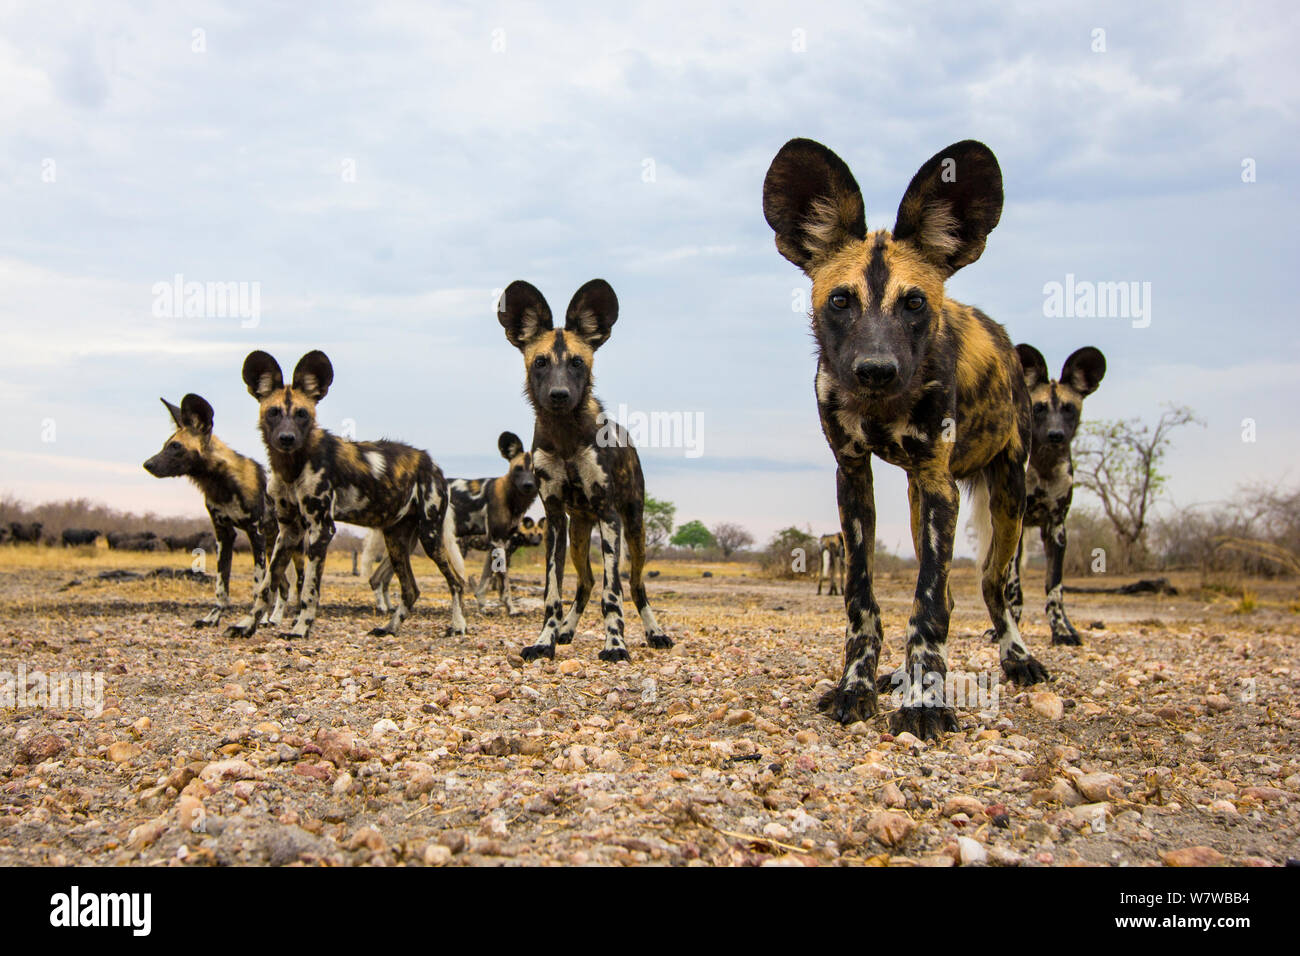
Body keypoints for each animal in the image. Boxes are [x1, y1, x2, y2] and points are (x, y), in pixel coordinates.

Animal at [142, 395, 301, 629]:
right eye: (165, 445)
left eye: (175, 446)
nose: (147, 464)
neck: (221, 485)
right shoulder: (224, 534)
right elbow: (221, 585)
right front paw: (213, 617)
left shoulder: (255, 534)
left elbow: (257, 586)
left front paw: (250, 621)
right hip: (274, 546)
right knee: (284, 586)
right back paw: (274, 619)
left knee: (299, 583)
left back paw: (292, 618)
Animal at [226, 351, 470, 642]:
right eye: (273, 412)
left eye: (302, 414)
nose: (287, 438)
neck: (291, 466)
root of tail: (433, 465)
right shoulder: (288, 532)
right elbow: (265, 586)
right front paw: (246, 625)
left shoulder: (321, 529)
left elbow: (309, 591)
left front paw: (300, 629)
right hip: (396, 540)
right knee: (411, 589)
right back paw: (389, 628)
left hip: (429, 536)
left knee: (456, 582)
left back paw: (458, 626)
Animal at [496, 280, 676, 660]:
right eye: (540, 362)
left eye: (577, 362)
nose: (559, 394)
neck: (566, 435)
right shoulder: (554, 520)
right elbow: (552, 593)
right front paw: (544, 641)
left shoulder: (609, 515)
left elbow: (613, 593)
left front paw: (615, 645)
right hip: (579, 534)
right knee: (586, 582)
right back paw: (566, 631)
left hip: (635, 529)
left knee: (635, 586)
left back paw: (655, 633)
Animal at [759, 136, 1045, 738]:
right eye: (840, 301)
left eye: (914, 303)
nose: (874, 369)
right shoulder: (853, 478)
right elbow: (862, 600)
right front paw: (858, 686)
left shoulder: (939, 482)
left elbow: (928, 605)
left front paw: (925, 703)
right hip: (920, 503)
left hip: (1006, 496)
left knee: (994, 586)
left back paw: (1018, 658)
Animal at [998, 348, 1102, 647]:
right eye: (1039, 408)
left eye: (1069, 408)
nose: (1056, 435)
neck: (1044, 466)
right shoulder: (1017, 527)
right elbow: (1014, 588)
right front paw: (1009, 629)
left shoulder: (1056, 529)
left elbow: (1054, 588)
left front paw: (1062, 630)